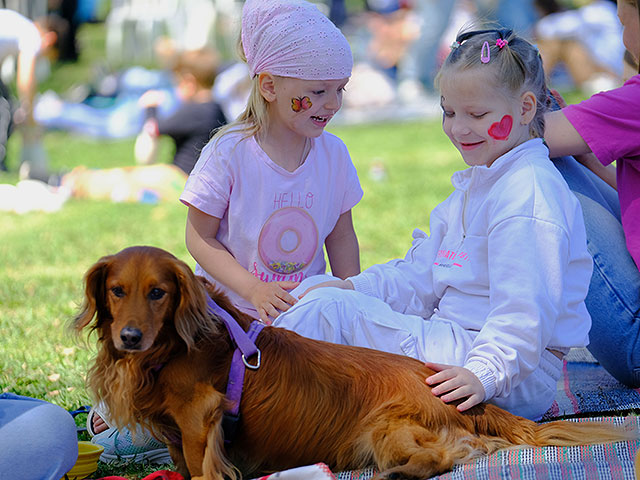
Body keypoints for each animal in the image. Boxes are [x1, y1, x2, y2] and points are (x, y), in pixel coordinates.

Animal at [75, 248, 636, 480]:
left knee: (444, 458)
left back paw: (397, 476)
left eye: (159, 293)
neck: (172, 347)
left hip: (382, 428)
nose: (129, 337)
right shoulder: (176, 432)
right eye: (117, 290)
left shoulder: (198, 421)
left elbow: (200, 469)